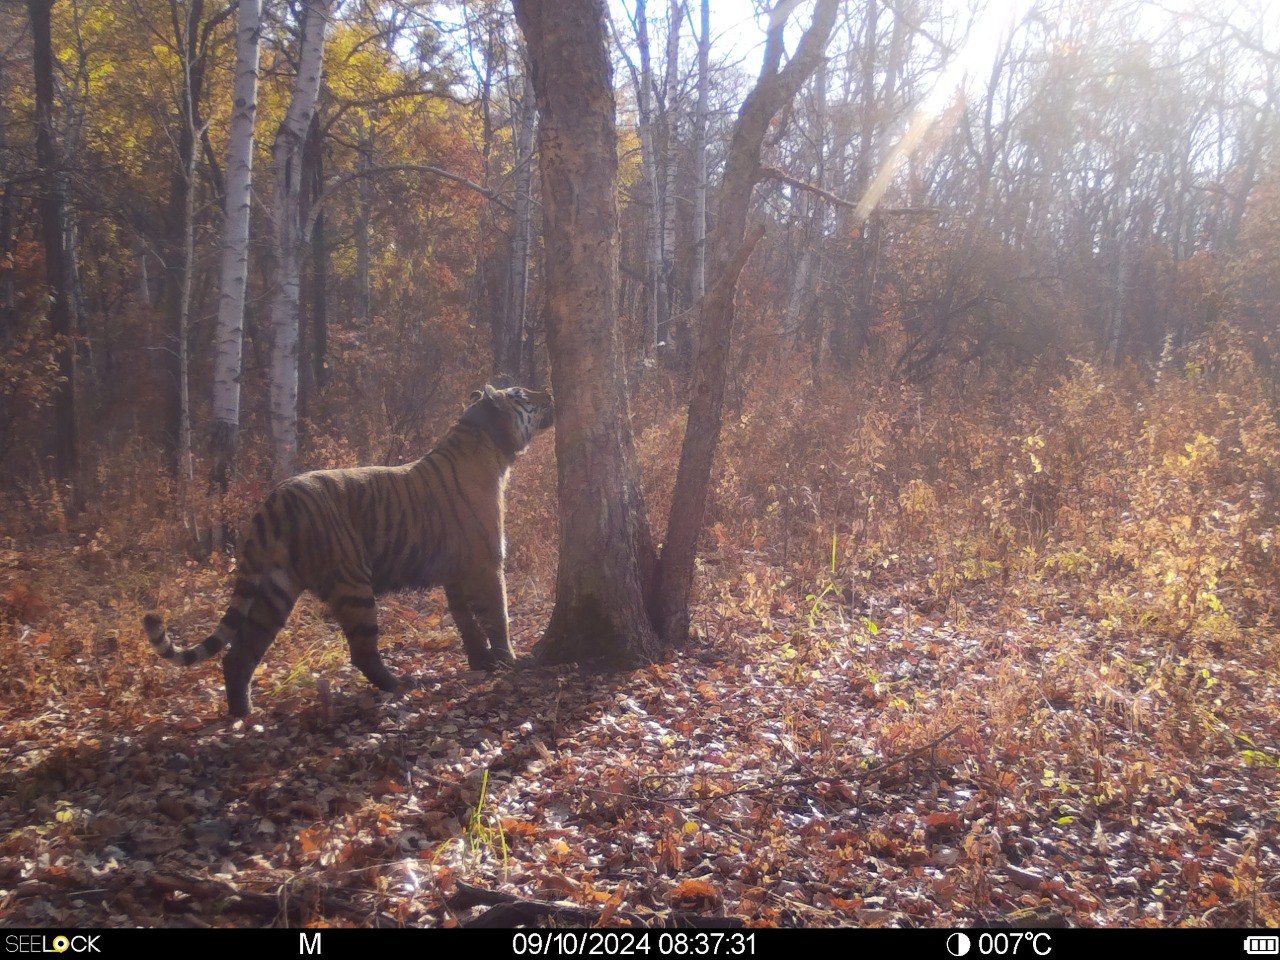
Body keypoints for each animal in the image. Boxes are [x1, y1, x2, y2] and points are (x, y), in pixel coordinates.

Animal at [145, 386, 555, 716]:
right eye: (521, 393)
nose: (549, 392)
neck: (487, 445)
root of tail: (275, 500)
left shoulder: (454, 573)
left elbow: (466, 621)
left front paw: (481, 662)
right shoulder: (487, 563)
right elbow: (497, 616)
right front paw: (508, 661)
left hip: (275, 590)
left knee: (239, 652)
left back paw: (243, 712)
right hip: (352, 582)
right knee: (361, 651)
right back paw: (399, 685)